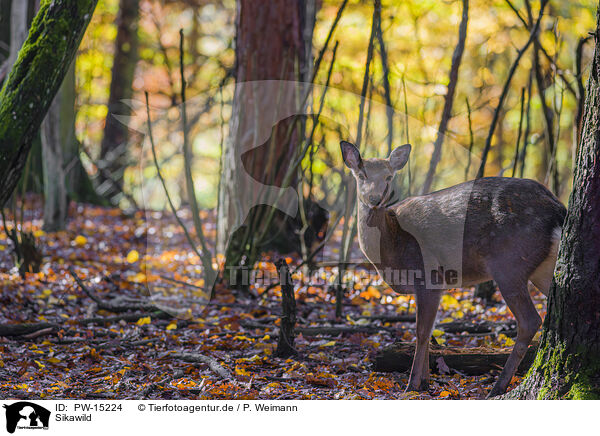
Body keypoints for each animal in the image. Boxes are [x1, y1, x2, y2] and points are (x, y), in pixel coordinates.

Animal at [342, 141, 568, 398]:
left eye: (389, 177)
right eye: (361, 175)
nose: (374, 198)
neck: (391, 246)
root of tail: (559, 208)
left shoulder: (427, 274)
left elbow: (421, 331)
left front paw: (412, 385)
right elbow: (430, 331)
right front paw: (425, 382)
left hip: (509, 262)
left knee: (530, 320)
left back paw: (498, 387)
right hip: (542, 267)